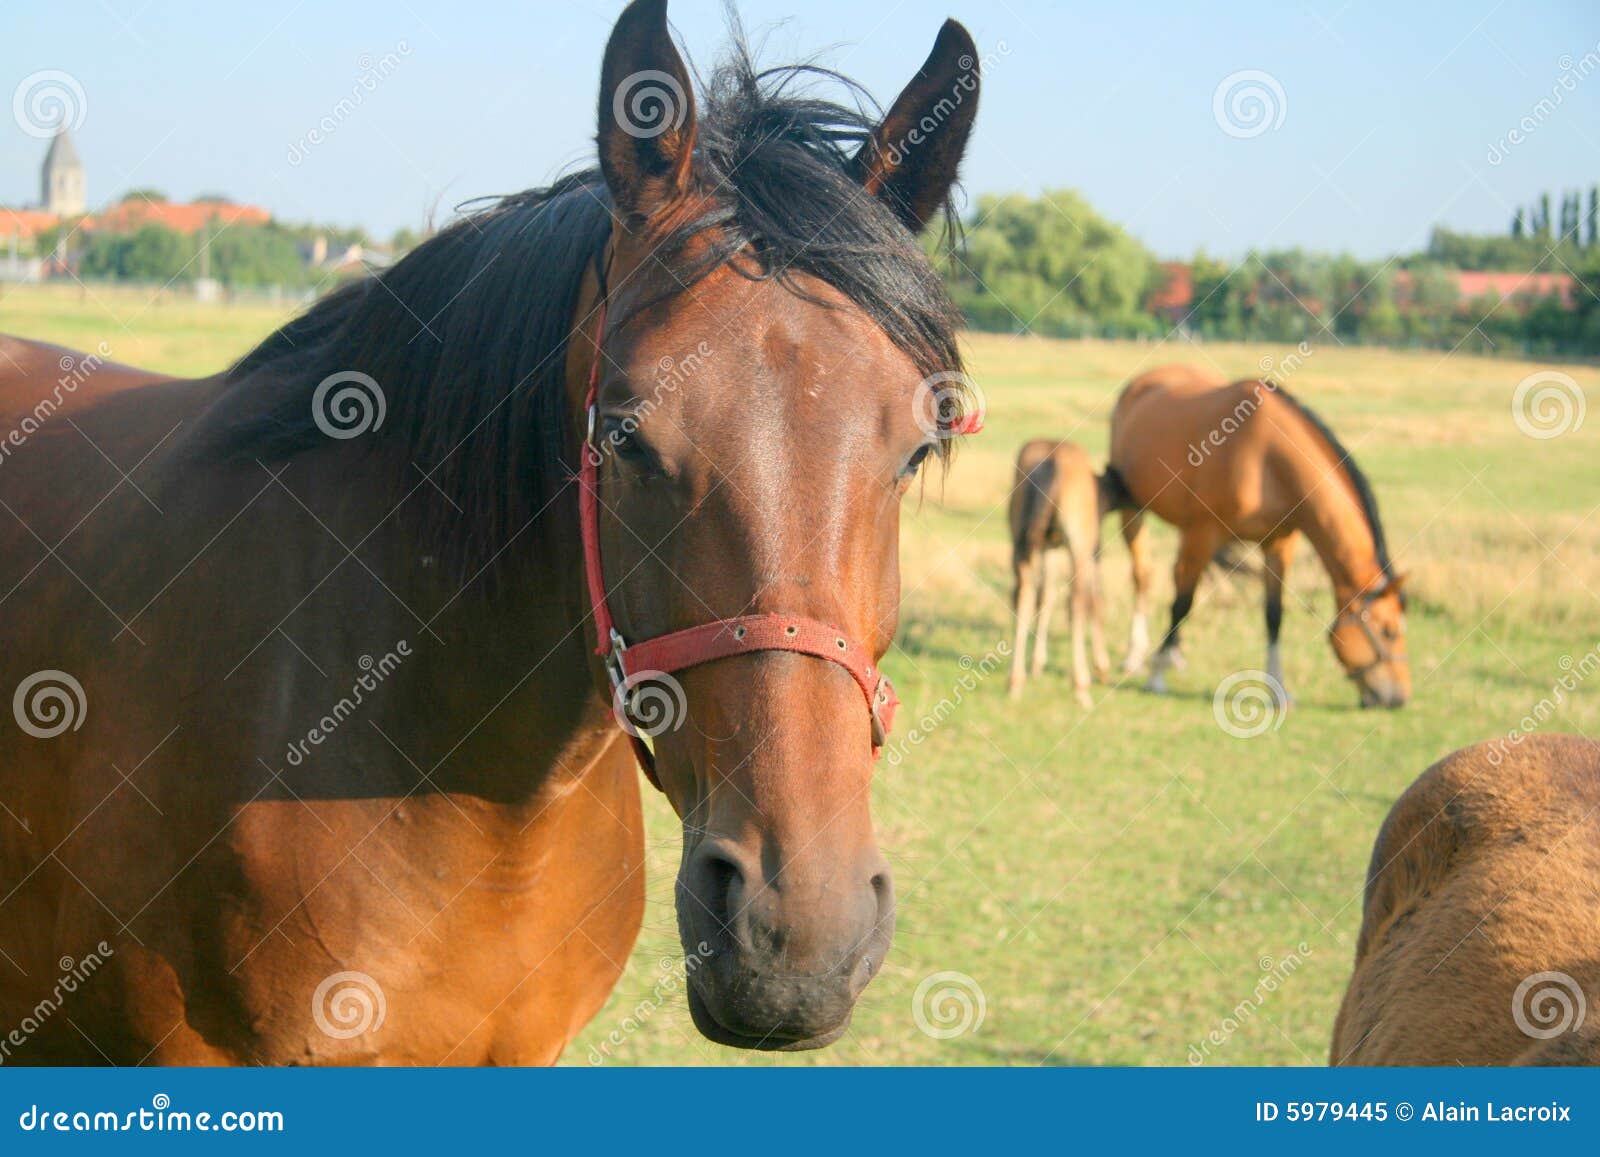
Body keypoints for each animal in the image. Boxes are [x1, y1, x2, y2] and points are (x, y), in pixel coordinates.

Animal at [1007, 440, 1109, 704]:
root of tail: (1053, 459)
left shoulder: (1047, 548)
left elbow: (1045, 596)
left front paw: (1036, 663)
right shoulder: (1090, 550)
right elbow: (1094, 600)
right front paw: (1101, 666)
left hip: (1021, 543)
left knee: (1023, 595)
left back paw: (1015, 681)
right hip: (1078, 546)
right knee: (1077, 601)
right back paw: (1081, 686)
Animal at [1103, 364, 1410, 709]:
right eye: (1388, 632)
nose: (1399, 697)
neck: (1265, 458)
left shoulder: (1278, 544)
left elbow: (1273, 614)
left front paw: (1279, 689)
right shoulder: (1204, 533)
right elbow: (1182, 603)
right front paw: (1156, 678)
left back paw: (1175, 655)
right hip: (1134, 509)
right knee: (1144, 576)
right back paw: (1136, 655)